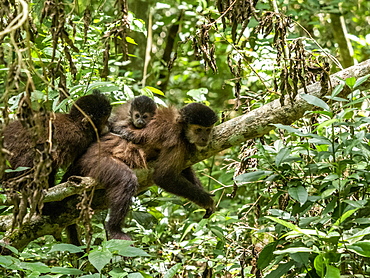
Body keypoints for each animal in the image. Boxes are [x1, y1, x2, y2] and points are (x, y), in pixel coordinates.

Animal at [64, 101, 218, 240]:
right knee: (126, 180)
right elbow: (164, 177)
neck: (180, 126)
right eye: (198, 130)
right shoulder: (176, 139)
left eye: (208, 129)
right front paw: (206, 200)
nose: (205, 138)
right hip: (96, 162)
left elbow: (184, 169)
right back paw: (114, 228)